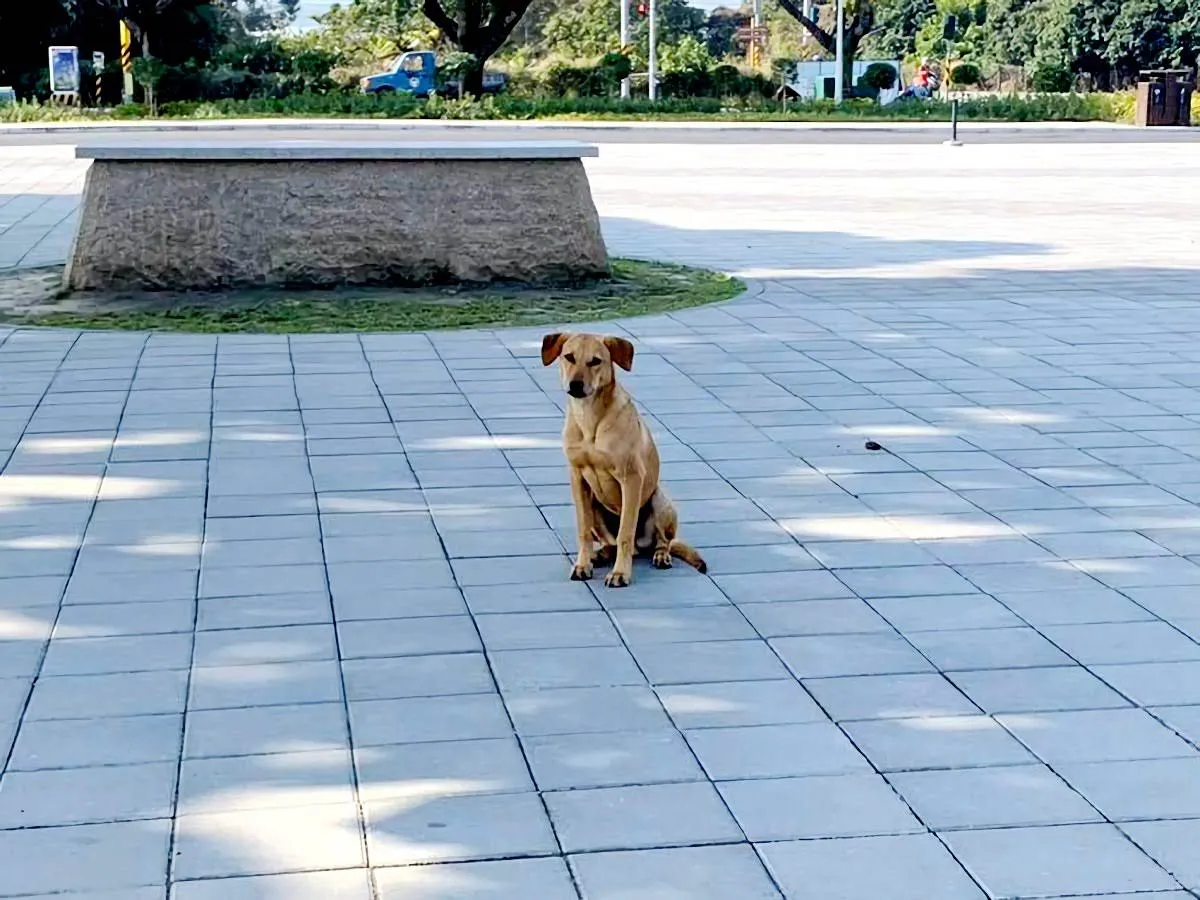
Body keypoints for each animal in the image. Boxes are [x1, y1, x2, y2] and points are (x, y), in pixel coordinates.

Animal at [542, 336, 705, 588]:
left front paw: (620, 573)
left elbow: (625, 533)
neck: (590, 419)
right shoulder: (577, 478)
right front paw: (582, 565)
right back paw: (598, 555)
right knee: (608, 542)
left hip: (658, 500)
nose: (575, 385)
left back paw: (661, 556)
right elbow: (583, 531)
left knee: (662, 541)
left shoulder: (631, 478)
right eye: (569, 357)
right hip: (595, 506)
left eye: (595, 361)